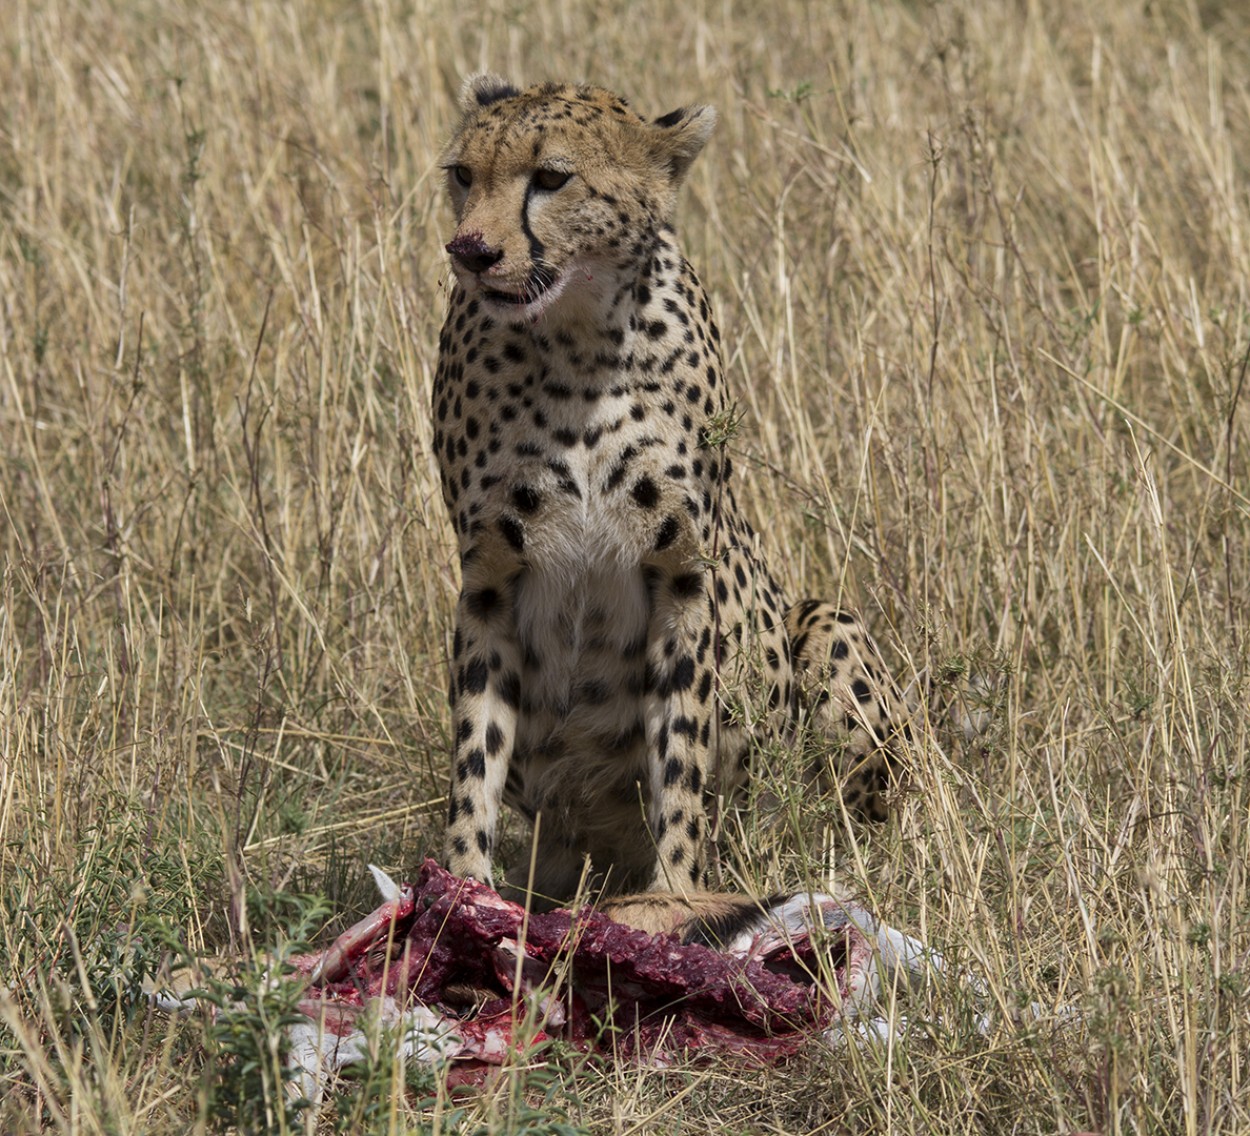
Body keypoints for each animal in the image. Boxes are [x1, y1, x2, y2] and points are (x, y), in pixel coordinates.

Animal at [435, 73, 905, 904]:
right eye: (463, 174)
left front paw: (677, 899)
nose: (472, 251)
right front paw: (460, 892)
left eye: (550, 177)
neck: (575, 340)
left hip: (829, 631)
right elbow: (475, 752)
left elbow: (681, 755)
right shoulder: (488, 576)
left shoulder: (682, 571)